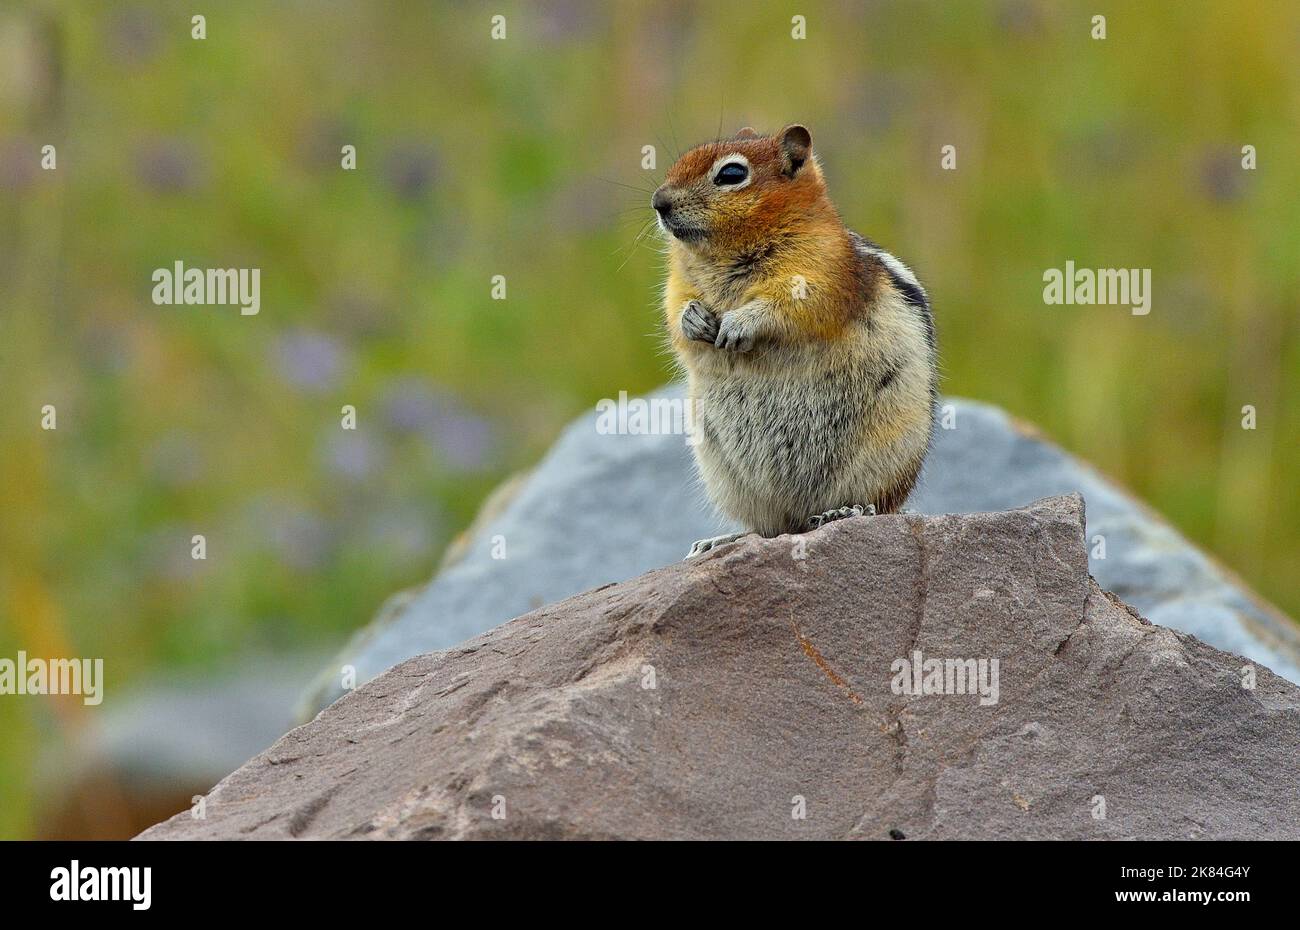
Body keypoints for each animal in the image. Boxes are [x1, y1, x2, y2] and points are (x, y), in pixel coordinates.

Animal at [652, 124, 938, 557]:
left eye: (731, 174)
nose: (658, 202)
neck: (721, 257)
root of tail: (801, 516)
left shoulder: (821, 273)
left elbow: (789, 308)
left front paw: (738, 324)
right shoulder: (677, 284)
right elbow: (675, 312)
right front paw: (694, 320)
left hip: (884, 456)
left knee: (877, 505)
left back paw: (847, 511)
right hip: (727, 475)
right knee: (767, 528)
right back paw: (721, 540)